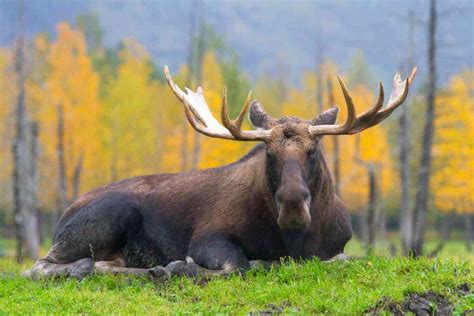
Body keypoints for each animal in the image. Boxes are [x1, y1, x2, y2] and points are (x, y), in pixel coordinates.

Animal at [25, 65, 414, 278]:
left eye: (313, 149)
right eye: (269, 152)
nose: (292, 205)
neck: (292, 239)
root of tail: (62, 217)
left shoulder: (336, 248)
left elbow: (343, 259)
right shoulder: (208, 238)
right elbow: (238, 265)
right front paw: (178, 266)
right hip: (108, 216)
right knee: (38, 265)